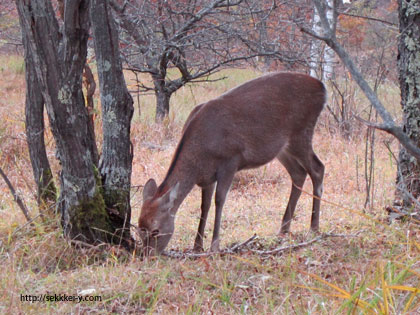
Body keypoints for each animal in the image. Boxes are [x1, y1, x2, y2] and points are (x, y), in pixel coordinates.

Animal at [139, 72, 326, 256]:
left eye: (155, 230)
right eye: (140, 228)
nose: (148, 254)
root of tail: (322, 89)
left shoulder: (230, 161)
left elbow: (219, 200)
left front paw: (214, 246)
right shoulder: (207, 177)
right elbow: (204, 206)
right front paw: (197, 246)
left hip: (301, 132)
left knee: (318, 168)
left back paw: (314, 227)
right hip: (282, 147)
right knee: (298, 173)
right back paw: (284, 229)